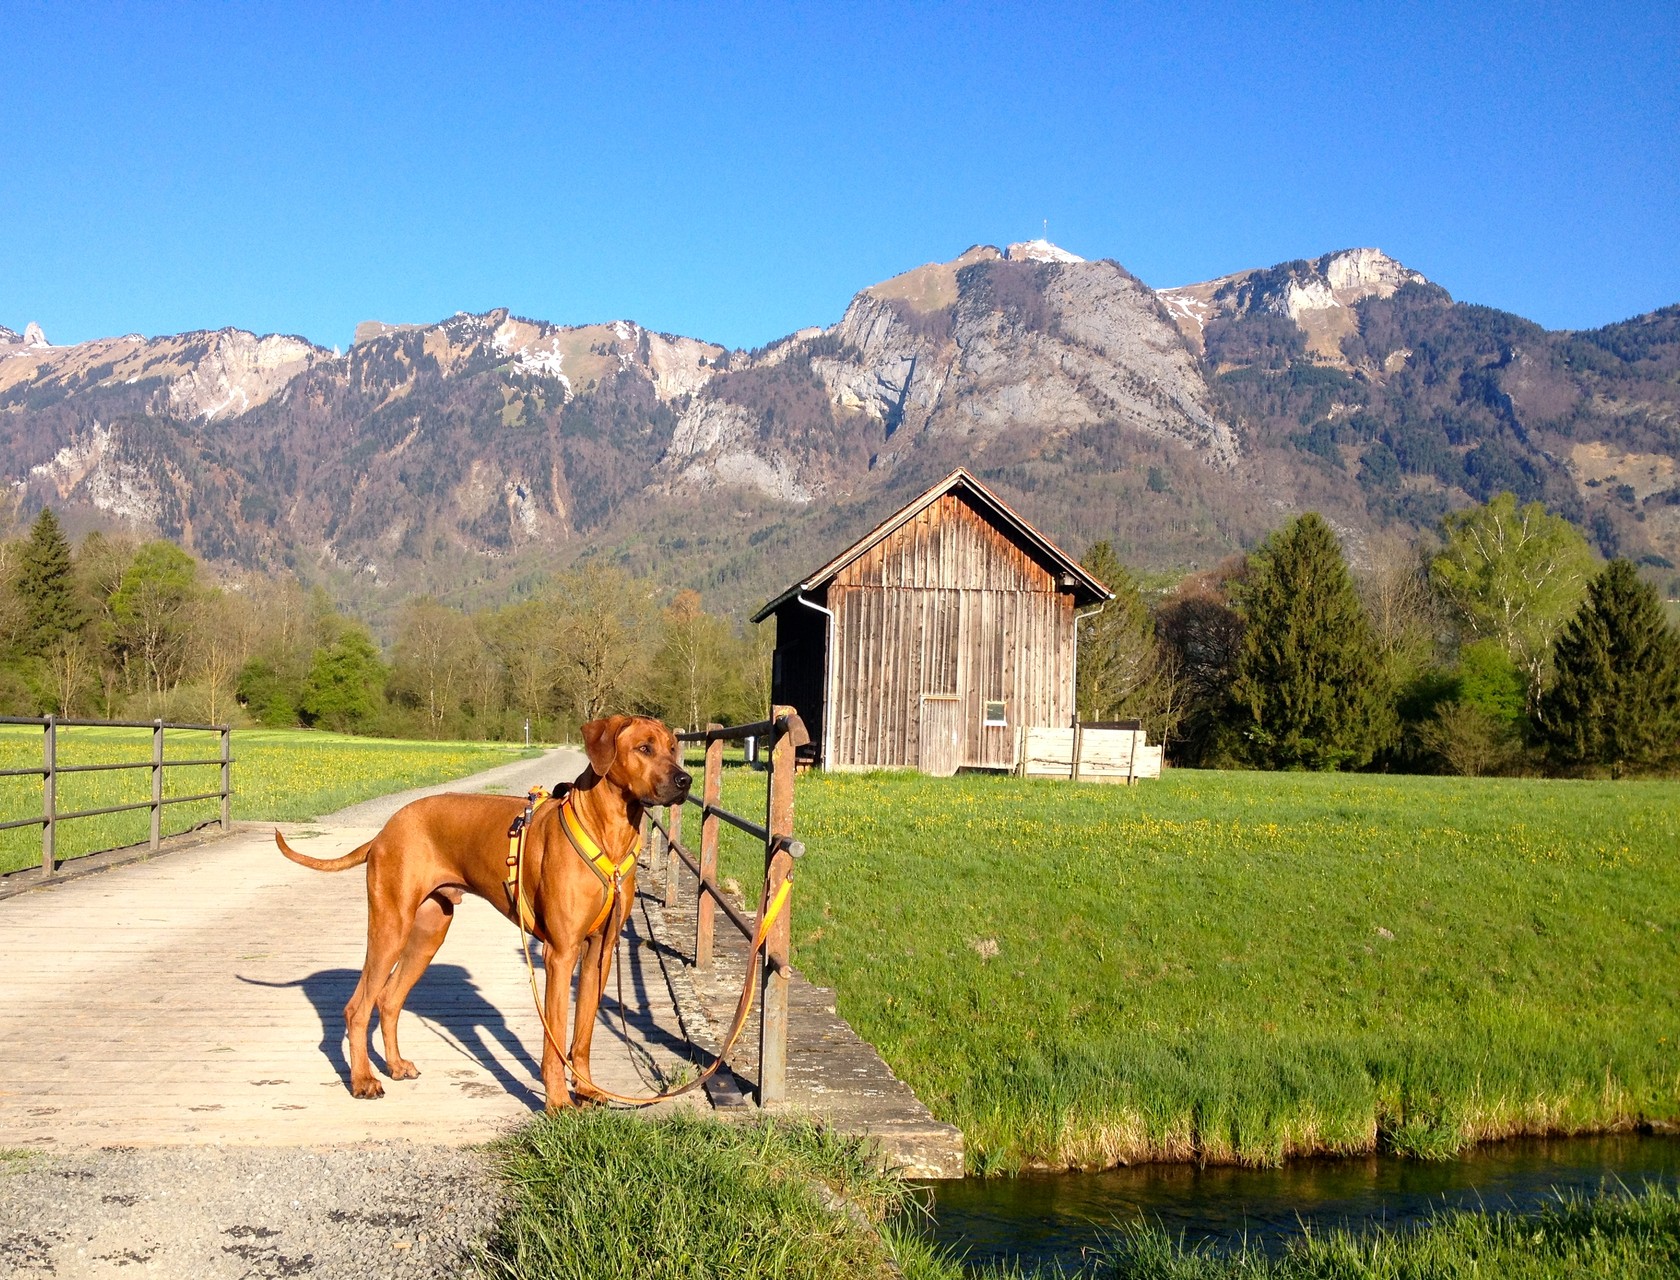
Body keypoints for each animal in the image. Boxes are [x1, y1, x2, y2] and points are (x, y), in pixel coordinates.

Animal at [275, 712, 688, 1101]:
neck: (609, 835)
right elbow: (554, 1042)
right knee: (357, 1008)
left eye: (673, 748)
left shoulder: (598, 952)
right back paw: (363, 1080)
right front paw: (558, 1103)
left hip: (429, 931)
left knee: (389, 999)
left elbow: (582, 1035)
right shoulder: (561, 952)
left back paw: (395, 1066)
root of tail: (385, 830)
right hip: (391, 925)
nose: (685, 780)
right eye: (644, 748)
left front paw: (586, 1090)